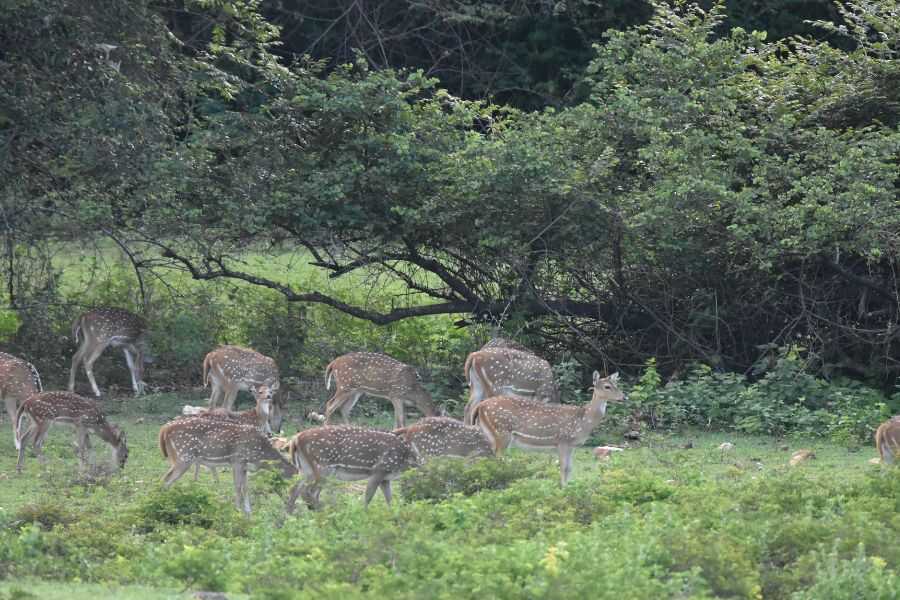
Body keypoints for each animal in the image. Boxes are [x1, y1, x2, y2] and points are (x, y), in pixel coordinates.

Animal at [158, 416, 297, 515]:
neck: (260, 456)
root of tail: (164, 429)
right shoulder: (237, 461)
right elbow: (237, 487)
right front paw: (237, 510)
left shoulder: (245, 467)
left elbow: (246, 487)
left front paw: (248, 512)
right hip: (184, 456)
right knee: (167, 480)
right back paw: (164, 506)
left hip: (176, 457)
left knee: (164, 478)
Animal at [285, 425, 423, 511]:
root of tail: (295, 439)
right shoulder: (379, 470)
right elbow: (368, 497)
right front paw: (364, 515)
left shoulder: (385, 478)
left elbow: (390, 501)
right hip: (323, 467)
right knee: (308, 491)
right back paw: (323, 511)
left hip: (305, 469)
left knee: (294, 489)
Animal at [473, 371, 625, 486]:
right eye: (607, 386)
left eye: (616, 384)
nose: (623, 397)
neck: (583, 421)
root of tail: (480, 407)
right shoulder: (562, 440)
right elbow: (563, 467)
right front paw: (563, 488)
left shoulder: (572, 445)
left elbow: (570, 468)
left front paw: (568, 487)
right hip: (501, 432)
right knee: (496, 458)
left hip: (490, 434)